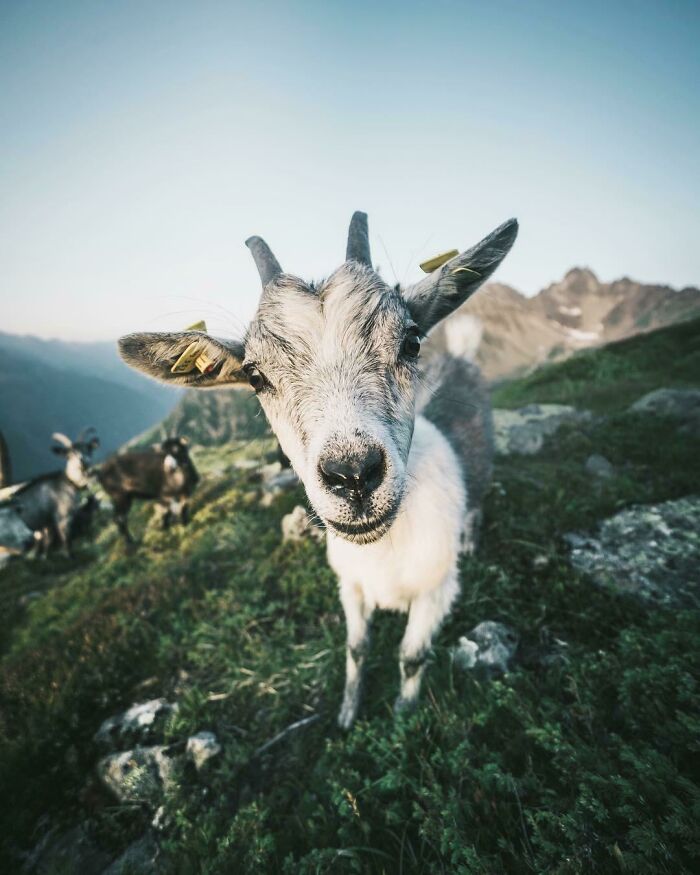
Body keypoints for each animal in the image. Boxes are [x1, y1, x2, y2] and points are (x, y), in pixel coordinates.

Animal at [14, 429, 99, 557]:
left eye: (87, 448)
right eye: (69, 454)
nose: (82, 460)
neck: (69, 483)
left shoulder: (47, 524)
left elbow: (47, 543)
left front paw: (44, 557)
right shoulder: (62, 517)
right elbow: (66, 540)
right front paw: (69, 557)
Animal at [119, 211, 518, 726]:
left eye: (411, 341)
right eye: (255, 376)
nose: (353, 476)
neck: (383, 552)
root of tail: (464, 356)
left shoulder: (435, 591)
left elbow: (410, 656)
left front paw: (403, 716)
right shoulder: (351, 587)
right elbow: (356, 648)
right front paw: (348, 712)